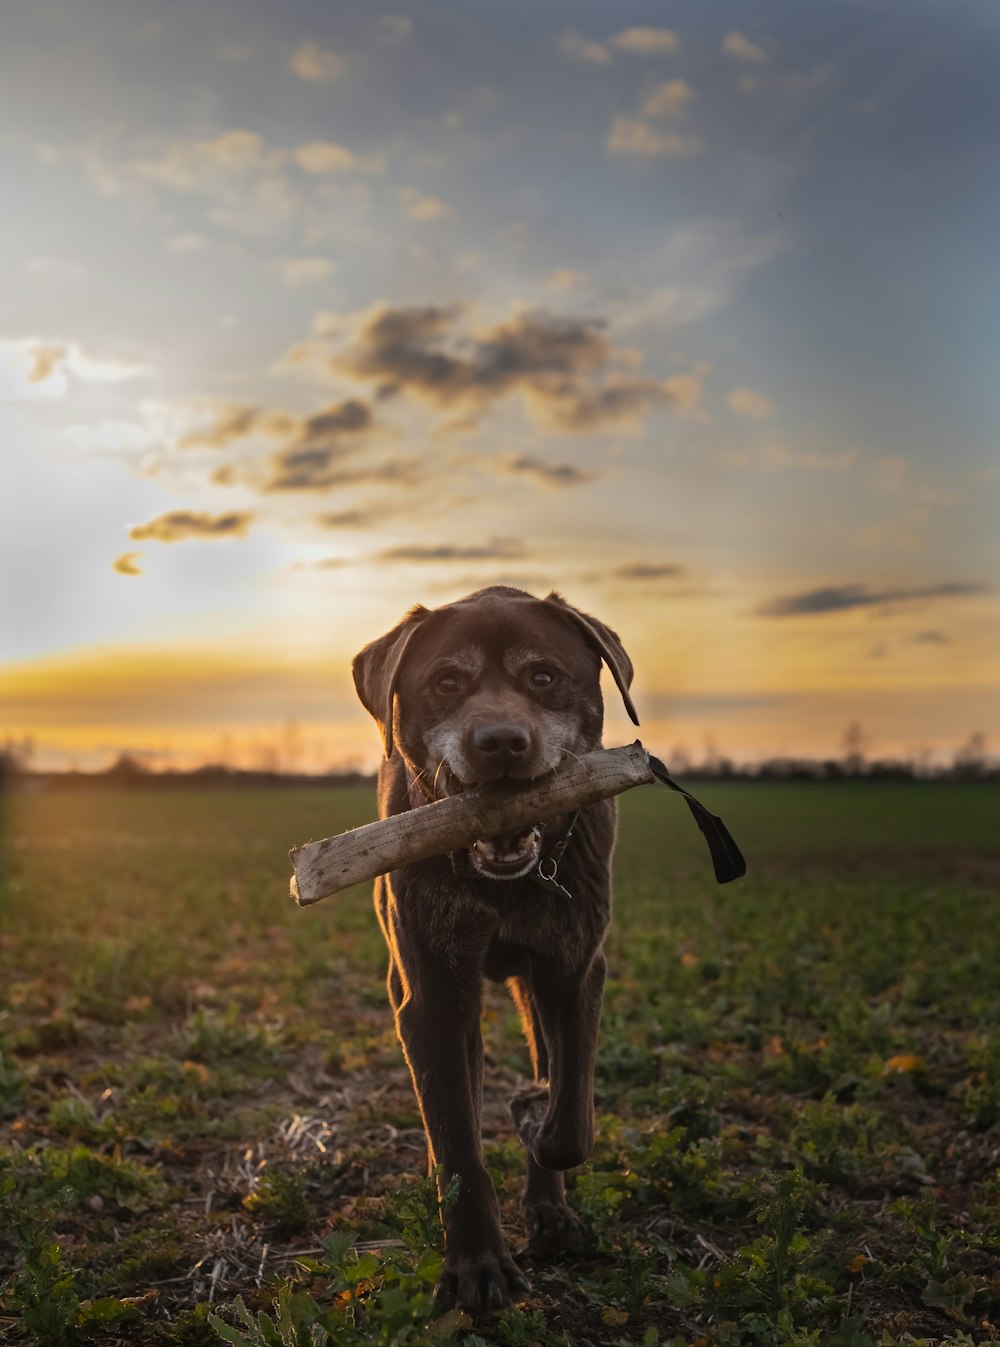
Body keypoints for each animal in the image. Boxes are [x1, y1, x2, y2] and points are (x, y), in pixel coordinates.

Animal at [355, 584, 641, 1309]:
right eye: (446, 682)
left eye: (542, 676)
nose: (503, 742)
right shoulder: (429, 993)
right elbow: (456, 1133)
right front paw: (476, 1263)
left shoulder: (574, 969)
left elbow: (570, 1120)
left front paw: (535, 1120)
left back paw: (551, 1209)